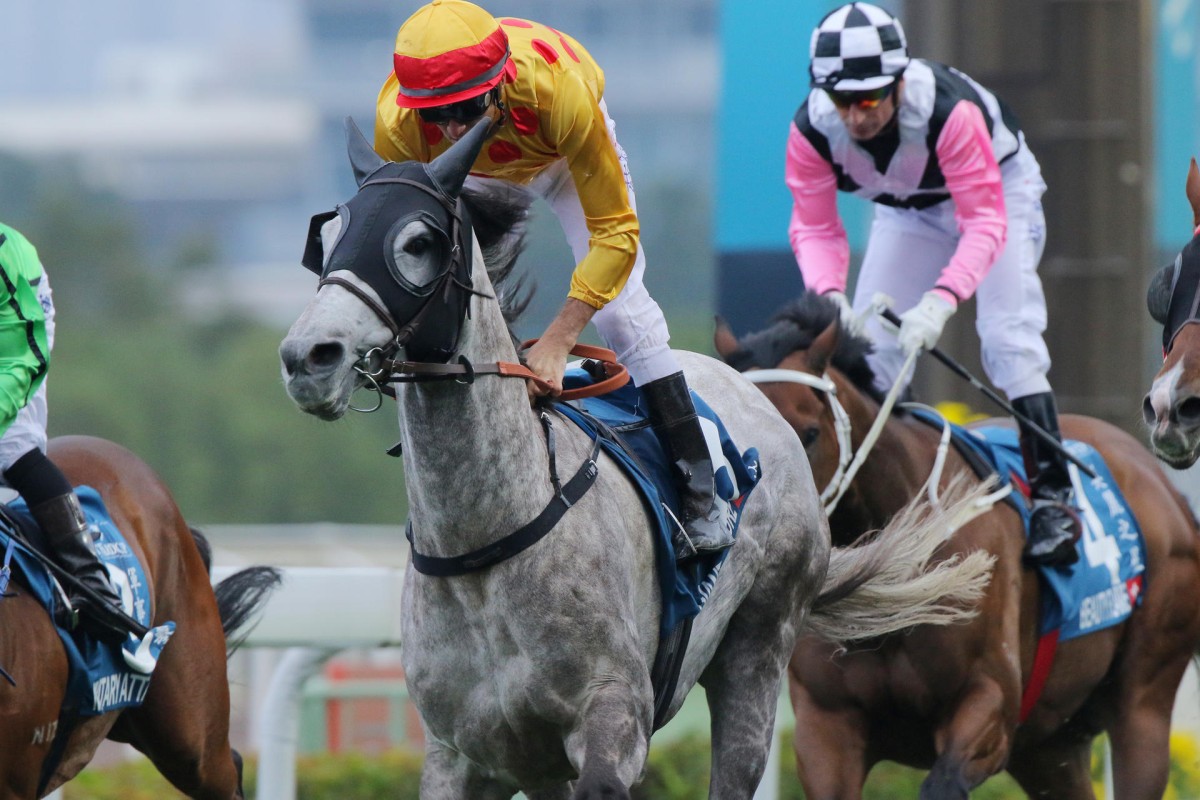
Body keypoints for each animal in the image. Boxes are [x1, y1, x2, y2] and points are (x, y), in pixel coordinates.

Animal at [278, 120, 993, 800]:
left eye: (418, 242)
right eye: (329, 235)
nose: (309, 356)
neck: (486, 540)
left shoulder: (615, 715)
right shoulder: (464, 754)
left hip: (760, 648)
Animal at [715, 296, 1200, 800]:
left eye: (807, 433)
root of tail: (1164, 487)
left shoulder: (990, 705)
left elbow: (944, 780)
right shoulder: (824, 728)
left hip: (1142, 703)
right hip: (1048, 744)